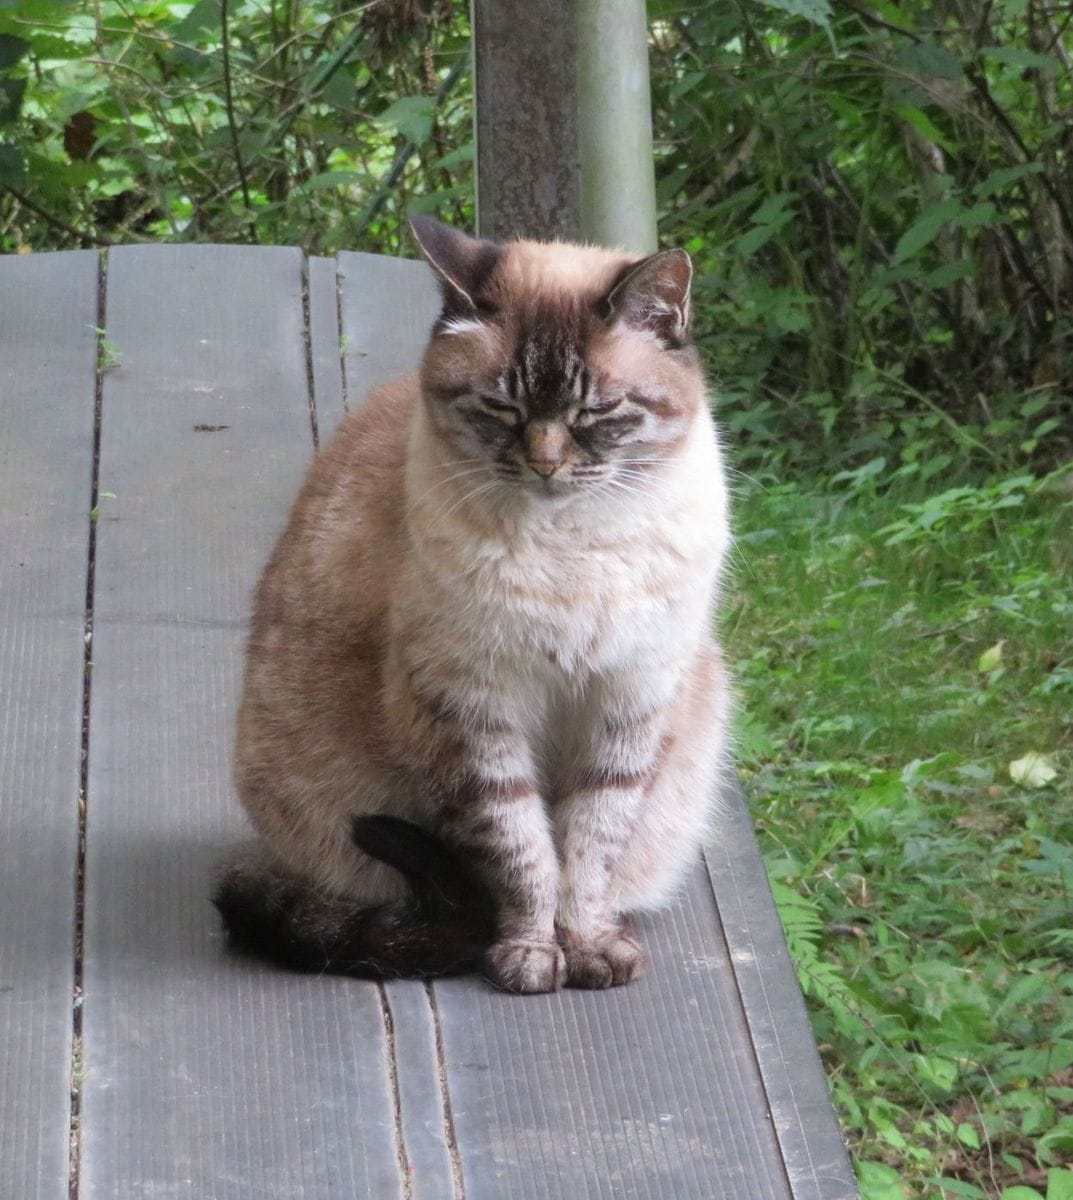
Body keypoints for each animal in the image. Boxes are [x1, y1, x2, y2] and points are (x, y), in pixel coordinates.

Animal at [216, 216, 739, 993]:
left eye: (595, 411)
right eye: (501, 406)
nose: (546, 464)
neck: (572, 546)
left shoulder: (626, 704)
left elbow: (590, 848)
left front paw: (587, 949)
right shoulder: (471, 710)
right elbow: (521, 853)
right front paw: (530, 957)